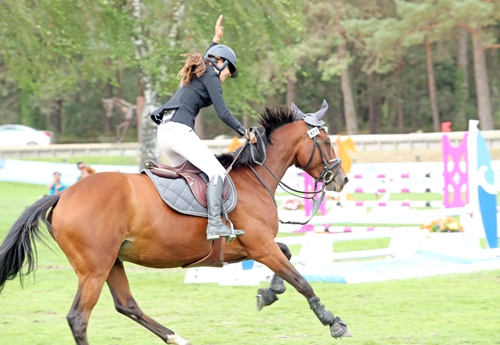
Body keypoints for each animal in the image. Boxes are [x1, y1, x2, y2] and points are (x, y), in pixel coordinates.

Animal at [0, 105, 352, 344]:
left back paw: (175, 337)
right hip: (94, 269)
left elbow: (288, 255)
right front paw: (332, 321)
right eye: (326, 142)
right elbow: (301, 280)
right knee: (79, 317)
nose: (343, 179)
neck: (253, 179)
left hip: (111, 261)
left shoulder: (251, 247)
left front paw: (269, 292)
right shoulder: (260, 246)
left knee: (127, 305)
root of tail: (63, 195)